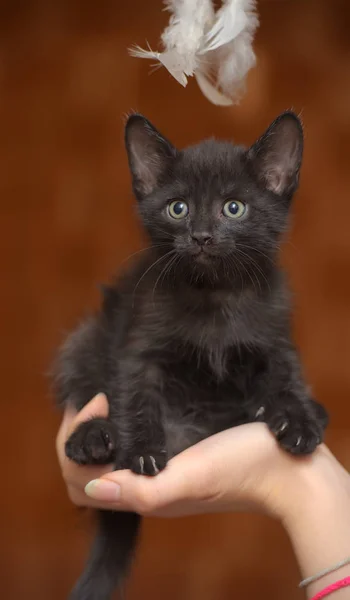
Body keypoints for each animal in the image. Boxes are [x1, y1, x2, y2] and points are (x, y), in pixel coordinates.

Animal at [52, 112, 328, 600]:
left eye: (233, 208)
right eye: (177, 208)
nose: (201, 236)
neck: (214, 295)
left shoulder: (275, 334)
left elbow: (287, 373)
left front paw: (296, 419)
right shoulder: (139, 343)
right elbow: (137, 394)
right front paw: (142, 449)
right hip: (85, 339)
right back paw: (94, 437)